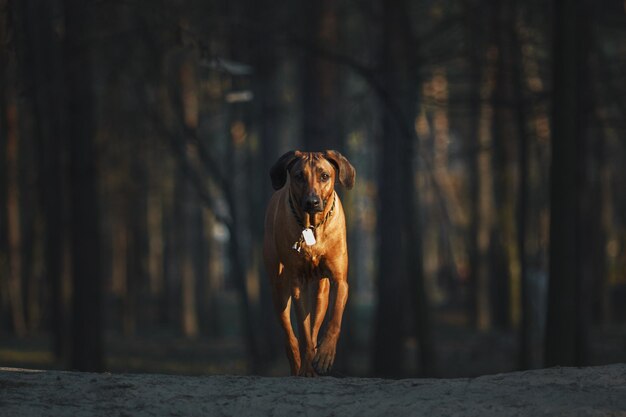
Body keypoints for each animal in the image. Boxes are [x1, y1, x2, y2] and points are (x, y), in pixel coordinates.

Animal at [260, 150, 354, 376]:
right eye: (299, 176)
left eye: (324, 176)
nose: (312, 202)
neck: (312, 227)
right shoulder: (297, 284)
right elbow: (302, 333)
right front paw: (307, 366)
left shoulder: (339, 281)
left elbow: (334, 320)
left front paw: (325, 354)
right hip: (279, 288)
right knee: (290, 334)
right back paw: (297, 362)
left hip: (321, 290)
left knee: (316, 322)